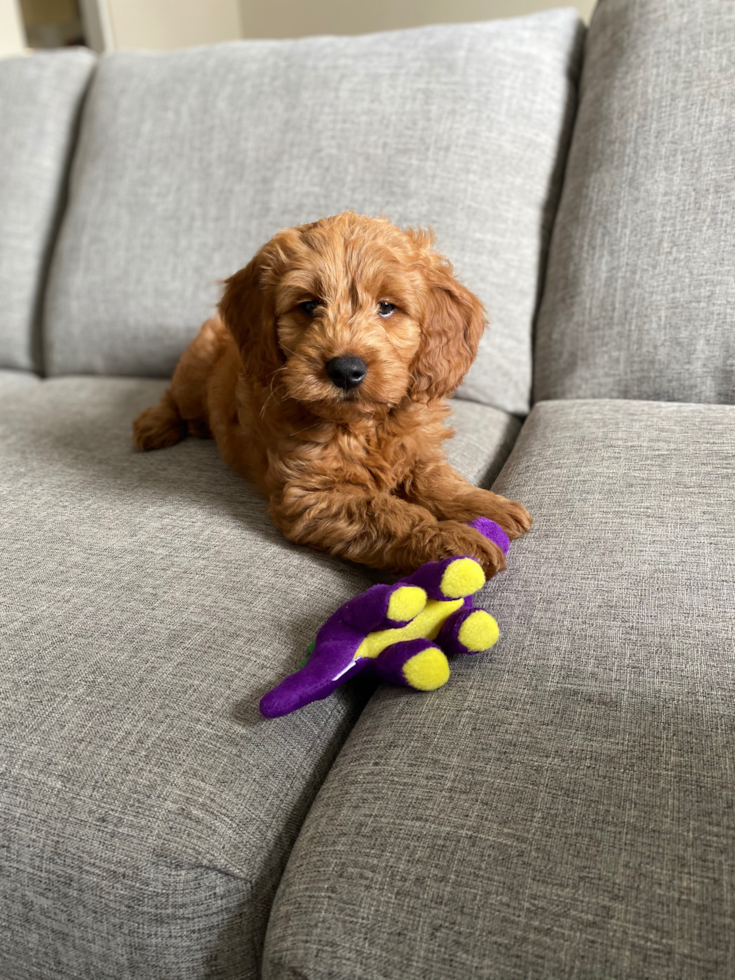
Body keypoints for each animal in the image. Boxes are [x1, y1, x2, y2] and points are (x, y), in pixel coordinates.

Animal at [132, 208, 532, 576]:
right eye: (309, 305)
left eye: (387, 307)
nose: (346, 370)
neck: (362, 426)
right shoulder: (311, 495)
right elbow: (385, 512)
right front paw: (452, 541)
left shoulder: (417, 450)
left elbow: (436, 479)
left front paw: (487, 505)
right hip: (195, 370)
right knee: (176, 399)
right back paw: (153, 427)